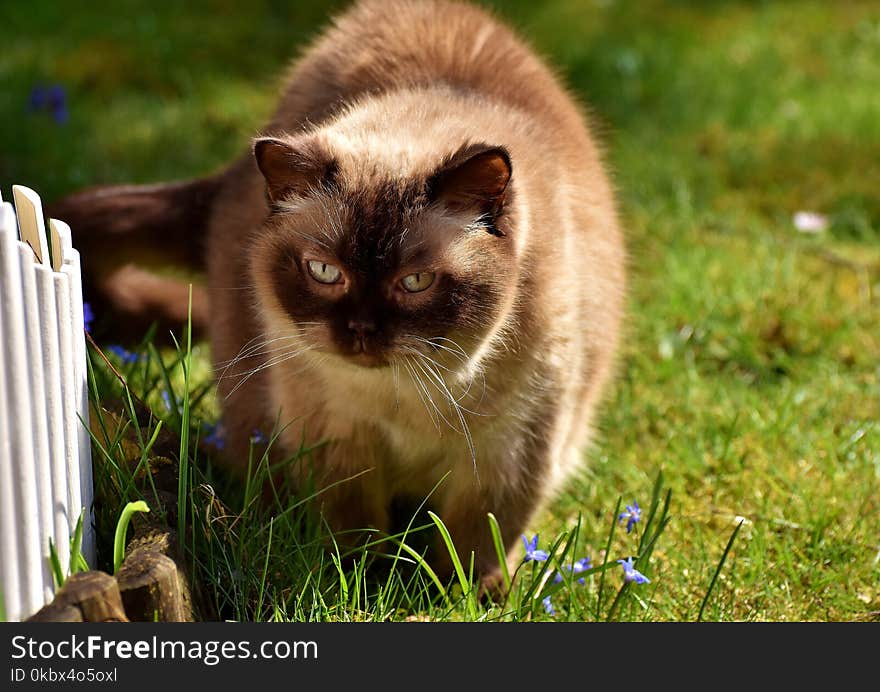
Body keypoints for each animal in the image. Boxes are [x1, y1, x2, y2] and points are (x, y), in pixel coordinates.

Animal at [49, 0, 624, 588]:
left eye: (414, 282)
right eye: (326, 272)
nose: (361, 330)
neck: (408, 396)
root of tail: (231, 177)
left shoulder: (508, 455)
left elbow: (475, 547)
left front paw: (460, 596)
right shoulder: (336, 443)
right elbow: (356, 535)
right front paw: (363, 587)